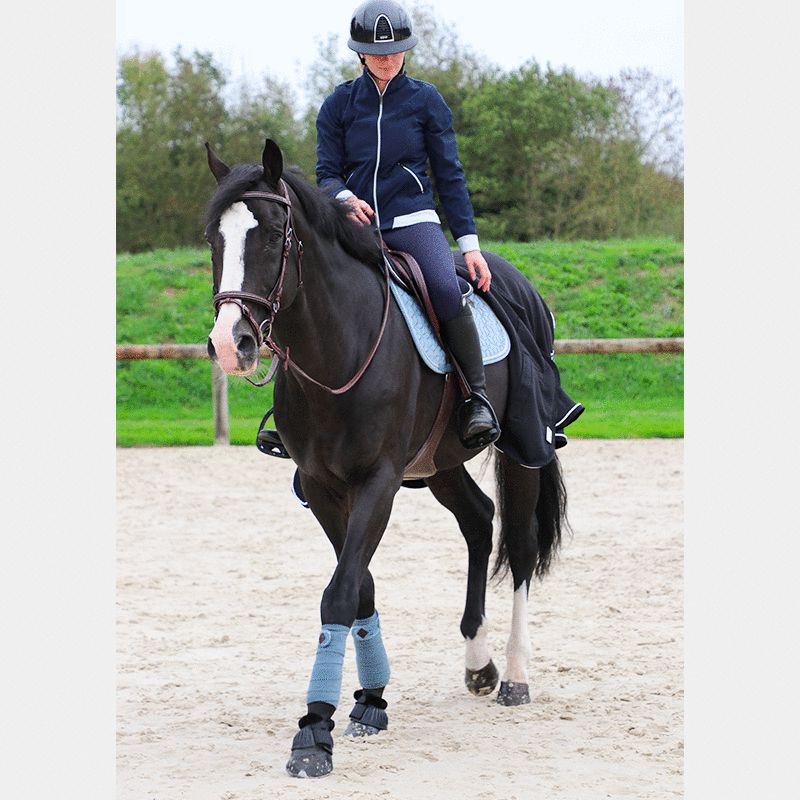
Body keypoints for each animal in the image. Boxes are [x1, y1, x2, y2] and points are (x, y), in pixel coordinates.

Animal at [204, 138, 572, 778]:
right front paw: (370, 702)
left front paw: (315, 729)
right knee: (479, 521)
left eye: (273, 236)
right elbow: (360, 587)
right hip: (442, 462)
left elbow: (341, 591)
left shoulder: (378, 480)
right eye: (214, 241)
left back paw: (515, 675)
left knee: (521, 548)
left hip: (522, 447)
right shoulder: (322, 486)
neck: (337, 346)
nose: (231, 343)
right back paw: (478, 663)